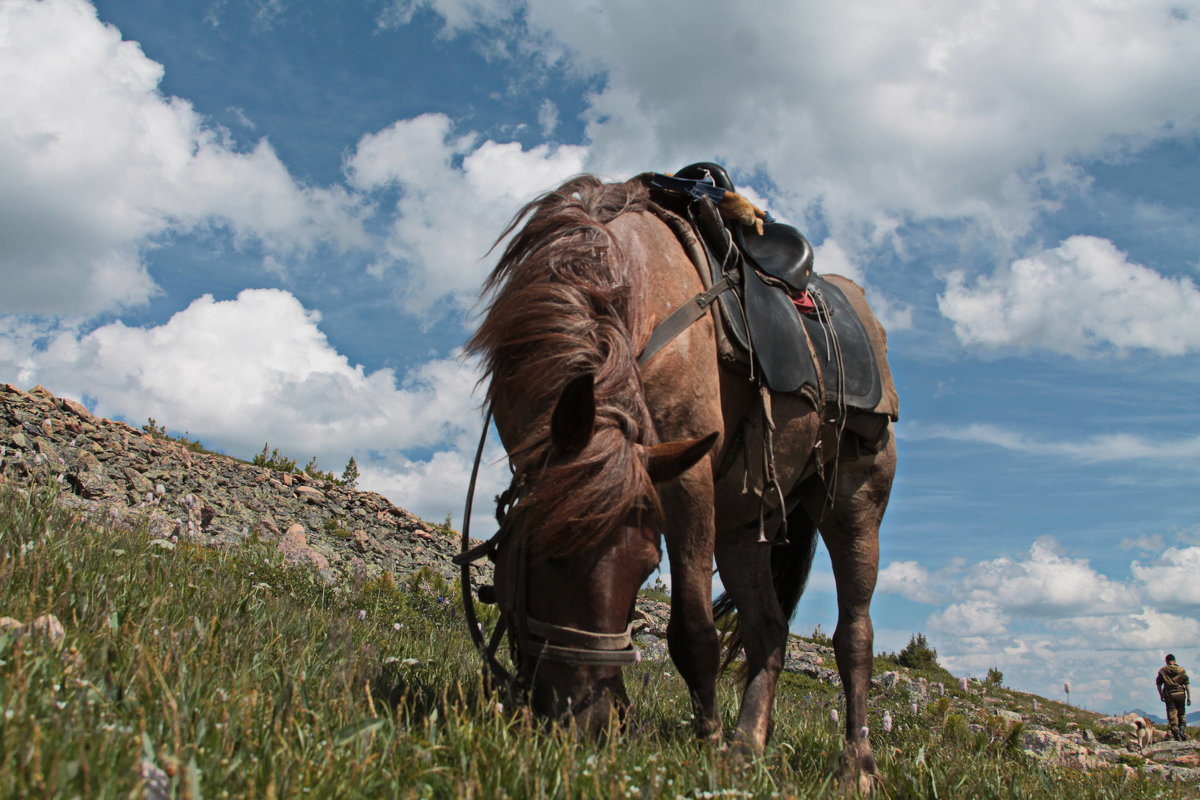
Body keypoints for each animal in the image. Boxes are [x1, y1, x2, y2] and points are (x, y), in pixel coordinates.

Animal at [463, 172, 897, 791]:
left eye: (648, 565)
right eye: (546, 554)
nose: (587, 724)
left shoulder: (688, 476)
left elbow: (692, 630)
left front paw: (706, 740)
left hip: (855, 507)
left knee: (853, 636)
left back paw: (855, 767)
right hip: (742, 526)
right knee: (768, 629)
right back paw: (747, 747)